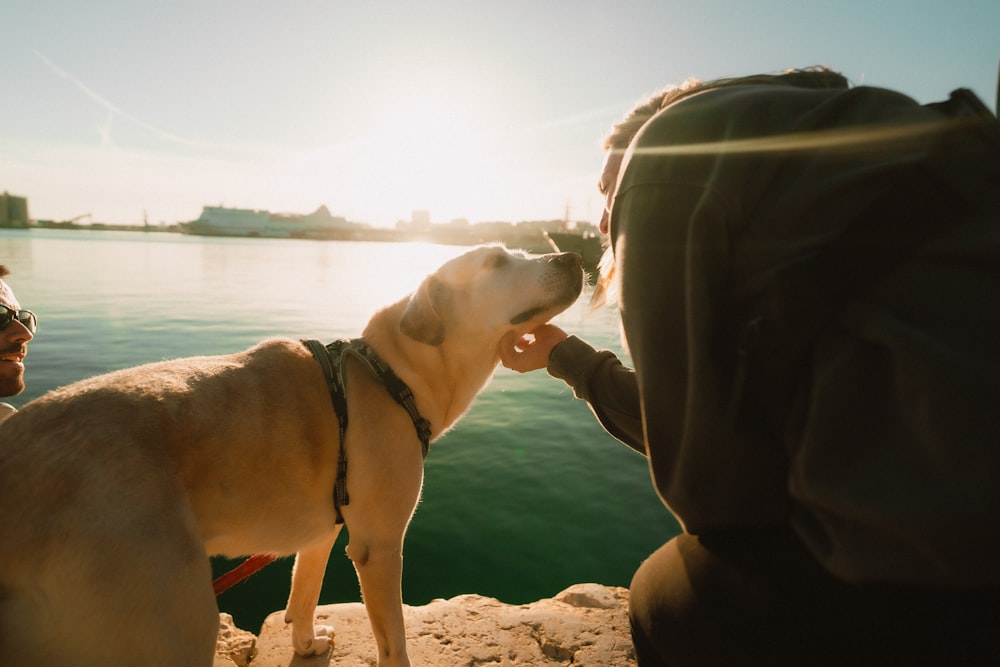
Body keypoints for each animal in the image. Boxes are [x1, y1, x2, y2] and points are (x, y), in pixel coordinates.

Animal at [0, 245, 584, 667]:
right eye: (496, 261)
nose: (574, 256)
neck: (388, 373)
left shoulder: (322, 530)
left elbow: (302, 596)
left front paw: (306, 646)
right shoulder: (378, 547)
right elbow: (393, 643)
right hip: (173, 616)